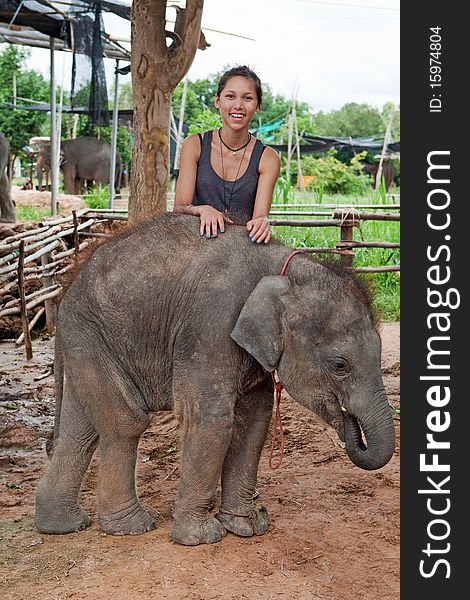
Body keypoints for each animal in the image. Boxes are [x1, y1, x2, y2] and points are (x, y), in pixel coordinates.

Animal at [35, 213, 394, 548]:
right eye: (340, 365)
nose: (350, 426)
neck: (284, 268)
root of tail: (67, 286)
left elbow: (255, 420)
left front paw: (243, 528)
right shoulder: (210, 323)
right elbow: (212, 420)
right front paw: (202, 537)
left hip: (87, 343)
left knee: (81, 432)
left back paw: (63, 526)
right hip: (92, 336)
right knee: (125, 423)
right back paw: (132, 527)